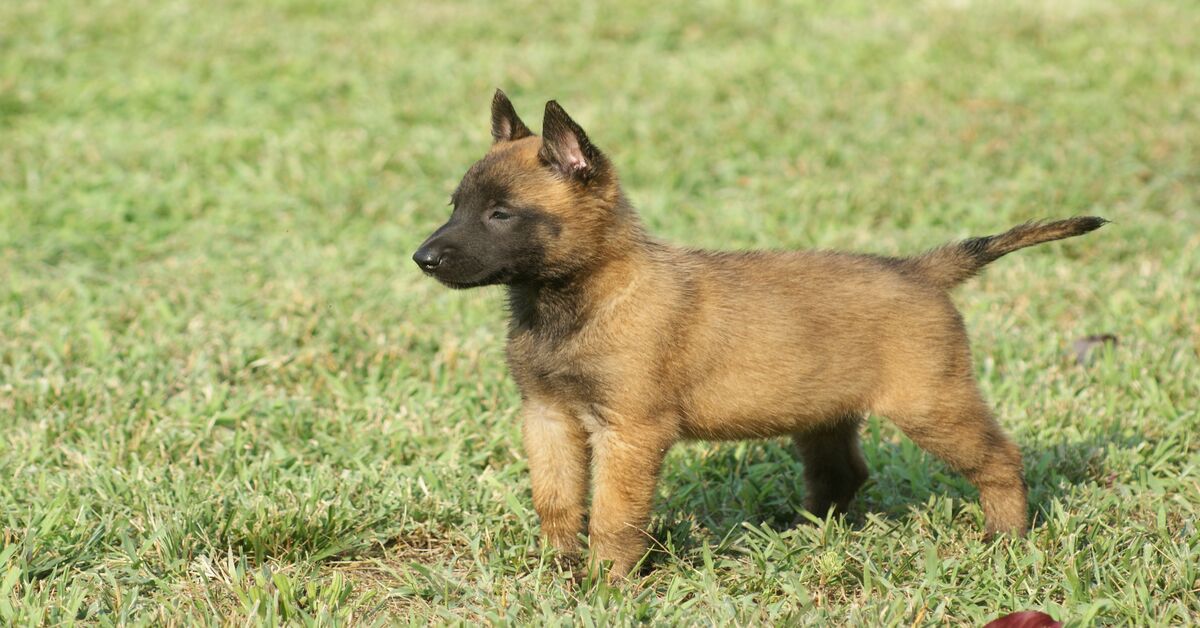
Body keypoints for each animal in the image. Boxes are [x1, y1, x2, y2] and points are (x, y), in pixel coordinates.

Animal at [415, 88, 1104, 581]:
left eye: (501, 214)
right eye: (456, 206)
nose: (423, 258)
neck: (587, 297)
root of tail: (918, 268)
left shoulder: (629, 432)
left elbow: (613, 514)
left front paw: (605, 583)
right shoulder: (547, 416)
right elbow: (555, 500)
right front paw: (556, 568)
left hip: (933, 406)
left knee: (1001, 460)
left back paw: (1006, 539)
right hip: (824, 415)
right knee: (843, 476)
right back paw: (802, 534)